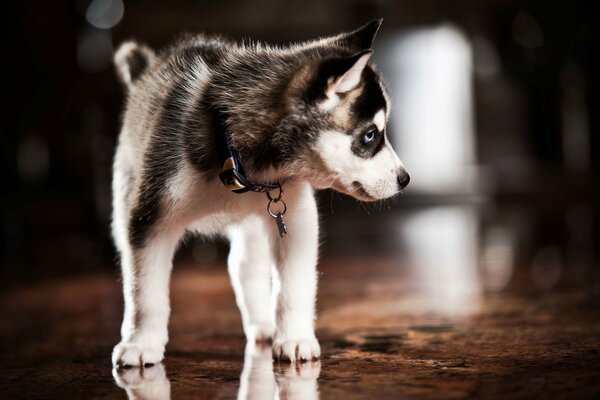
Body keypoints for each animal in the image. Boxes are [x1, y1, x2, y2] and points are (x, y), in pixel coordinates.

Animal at [111, 19, 408, 368]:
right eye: (369, 135)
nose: (405, 179)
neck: (238, 160)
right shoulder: (150, 218)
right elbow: (145, 292)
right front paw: (141, 343)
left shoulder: (295, 217)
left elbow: (294, 286)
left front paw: (294, 338)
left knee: (246, 267)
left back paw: (264, 325)